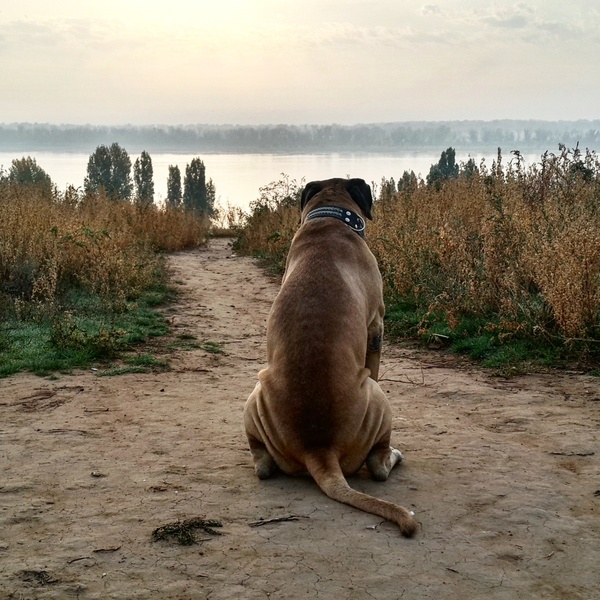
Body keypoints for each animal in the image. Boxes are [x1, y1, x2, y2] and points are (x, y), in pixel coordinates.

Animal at [244, 176, 418, 536]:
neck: (329, 217)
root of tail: (319, 449)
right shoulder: (376, 326)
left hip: (254, 397)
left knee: (263, 465)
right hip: (379, 401)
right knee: (378, 466)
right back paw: (393, 455)